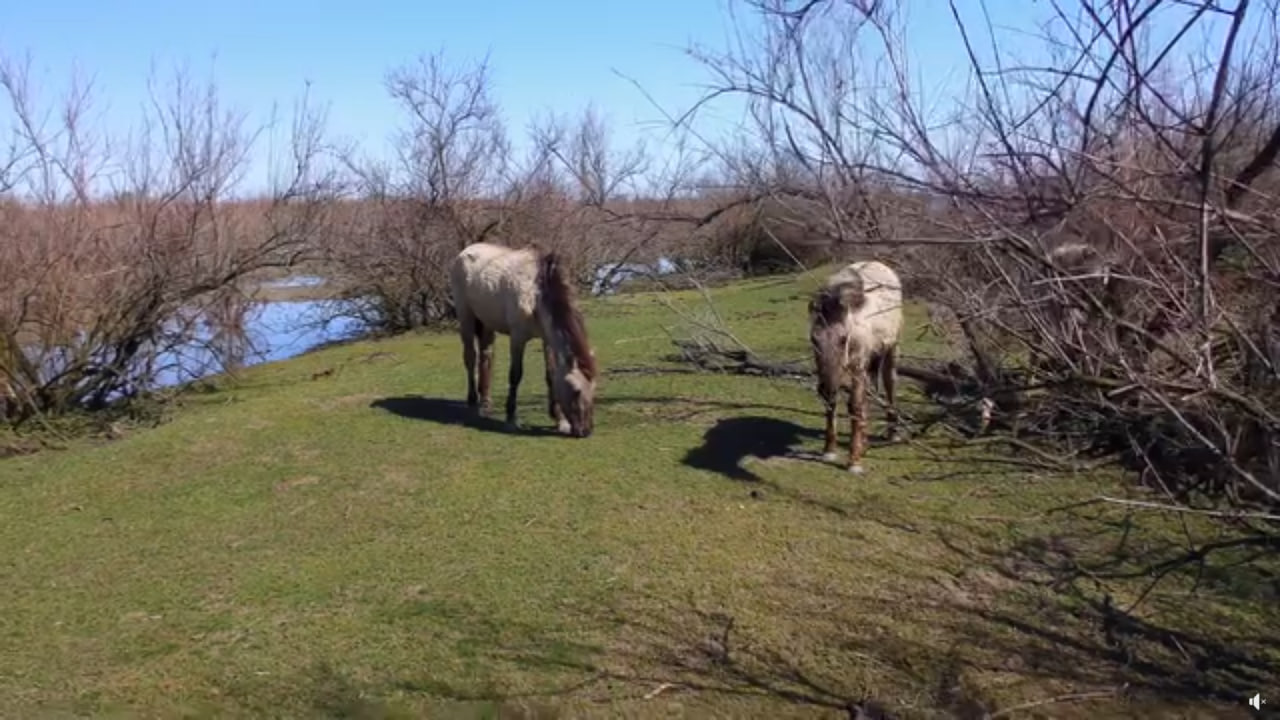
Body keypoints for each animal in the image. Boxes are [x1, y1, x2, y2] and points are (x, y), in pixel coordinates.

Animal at [450, 240, 599, 435]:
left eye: (594, 389)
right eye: (576, 390)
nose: (586, 430)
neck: (536, 293)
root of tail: (466, 250)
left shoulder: (546, 340)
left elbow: (551, 374)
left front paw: (560, 420)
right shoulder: (517, 338)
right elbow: (515, 375)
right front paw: (511, 418)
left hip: (487, 322)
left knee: (485, 356)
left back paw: (486, 403)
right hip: (465, 317)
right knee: (470, 357)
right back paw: (473, 403)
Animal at [803, 257, 906, 471]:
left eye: (843, 339)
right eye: (814, 339)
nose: (826, 389)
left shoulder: (858, 365)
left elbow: (855, 405)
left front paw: (854, 460)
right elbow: (834, 404)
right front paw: (829, 451)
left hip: (892, 348)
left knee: (890, 383)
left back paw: (893, 432)